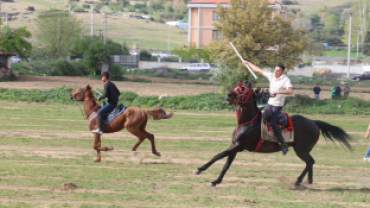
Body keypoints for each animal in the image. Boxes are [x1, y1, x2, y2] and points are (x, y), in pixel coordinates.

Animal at [194, 81, 352, 188]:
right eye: (235, 86)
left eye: (242, 89)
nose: (228, 95)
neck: (247, 122)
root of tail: (314, 122)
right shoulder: (235, 146)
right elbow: (226, 165)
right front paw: (215, 181)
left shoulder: (239, 146)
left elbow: (218, 156)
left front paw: (199, 169)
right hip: (303, 150)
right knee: (310, 162)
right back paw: (307, 181)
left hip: (301, 150)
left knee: (310, 162)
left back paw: (297, 182)